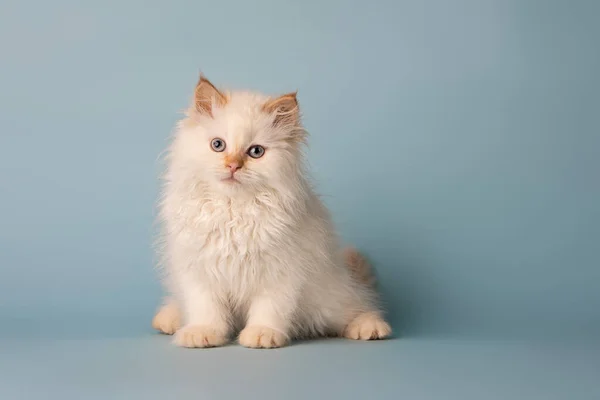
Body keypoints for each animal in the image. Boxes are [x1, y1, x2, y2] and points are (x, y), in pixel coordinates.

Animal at [152, 76, 392, 346]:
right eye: (218, 145)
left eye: (256, 152)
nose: (233, 165)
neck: (233, 209)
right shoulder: (199, 269)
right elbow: (206, 308)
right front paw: (202, 332)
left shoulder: (280, 271)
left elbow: (269, 307)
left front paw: (261, 334)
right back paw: (169, 318)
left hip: (330, 299)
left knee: (359, 306)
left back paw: (371, 327)